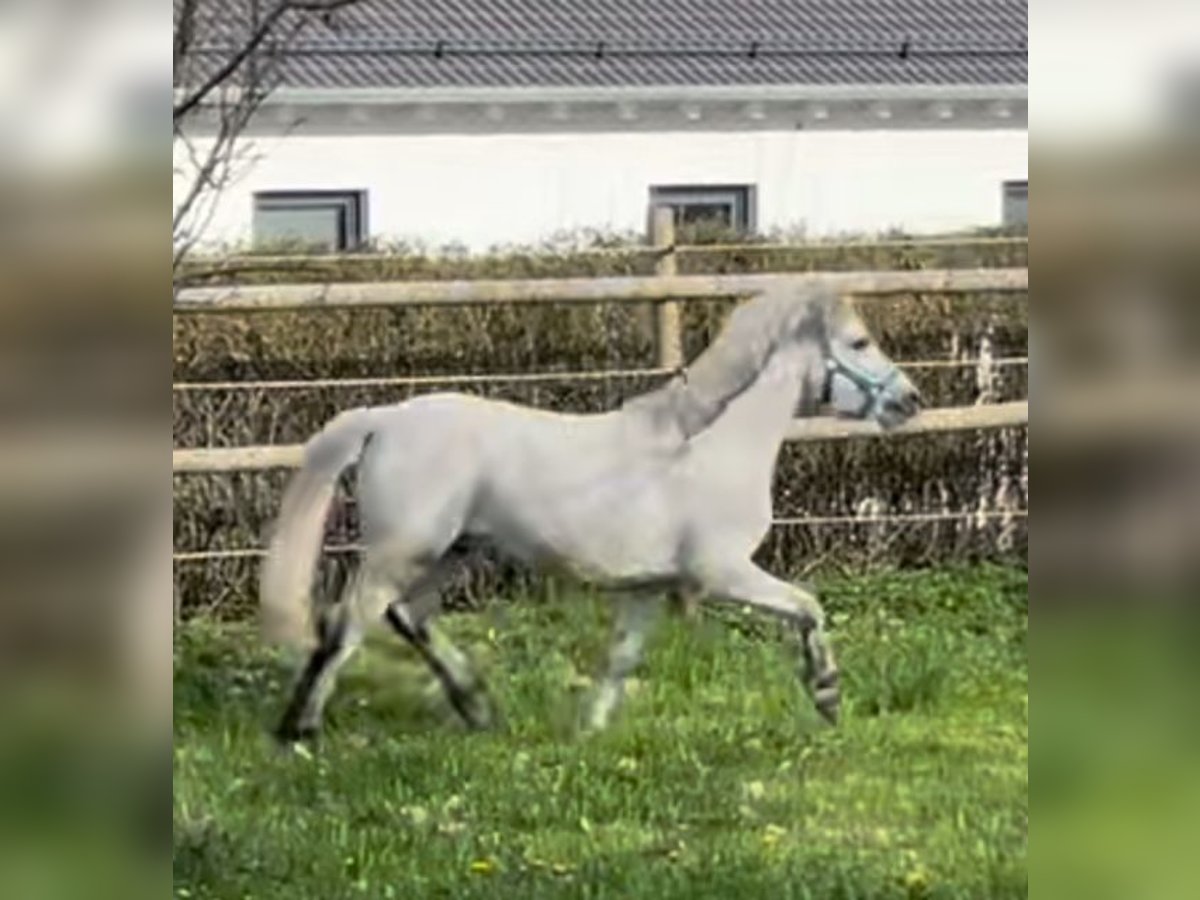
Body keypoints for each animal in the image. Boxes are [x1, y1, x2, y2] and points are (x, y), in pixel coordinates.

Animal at [260, 286, 916, 739]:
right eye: (859, 342)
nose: (909, 400)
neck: (708, 447)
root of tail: (385, 418)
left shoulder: (648, 587)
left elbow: (621, 658)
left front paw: (589, 732)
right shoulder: (722, 573)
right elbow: (809, 607)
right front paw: (827, 695)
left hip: (453, 550)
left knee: (406, 615)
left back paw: (478, 708)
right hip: (405, 548)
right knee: (348, 622)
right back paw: (300, 730)